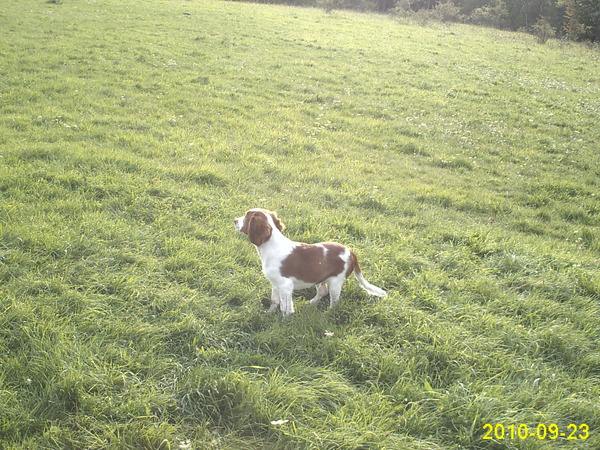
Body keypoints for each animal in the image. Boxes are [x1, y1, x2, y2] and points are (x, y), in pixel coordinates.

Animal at [232, 208, 386, 316]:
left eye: (247, 216)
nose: (234, 220)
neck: (271, 245)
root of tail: (351, 252)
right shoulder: (275, 284)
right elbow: (274, 301)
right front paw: (268, 313)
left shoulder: (286, 286)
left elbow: (285, 308)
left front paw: (283, 322)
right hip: (321, 278)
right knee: (322, 291)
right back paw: (310, 304)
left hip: (336, 282)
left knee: (334, 303)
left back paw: (326, 314)